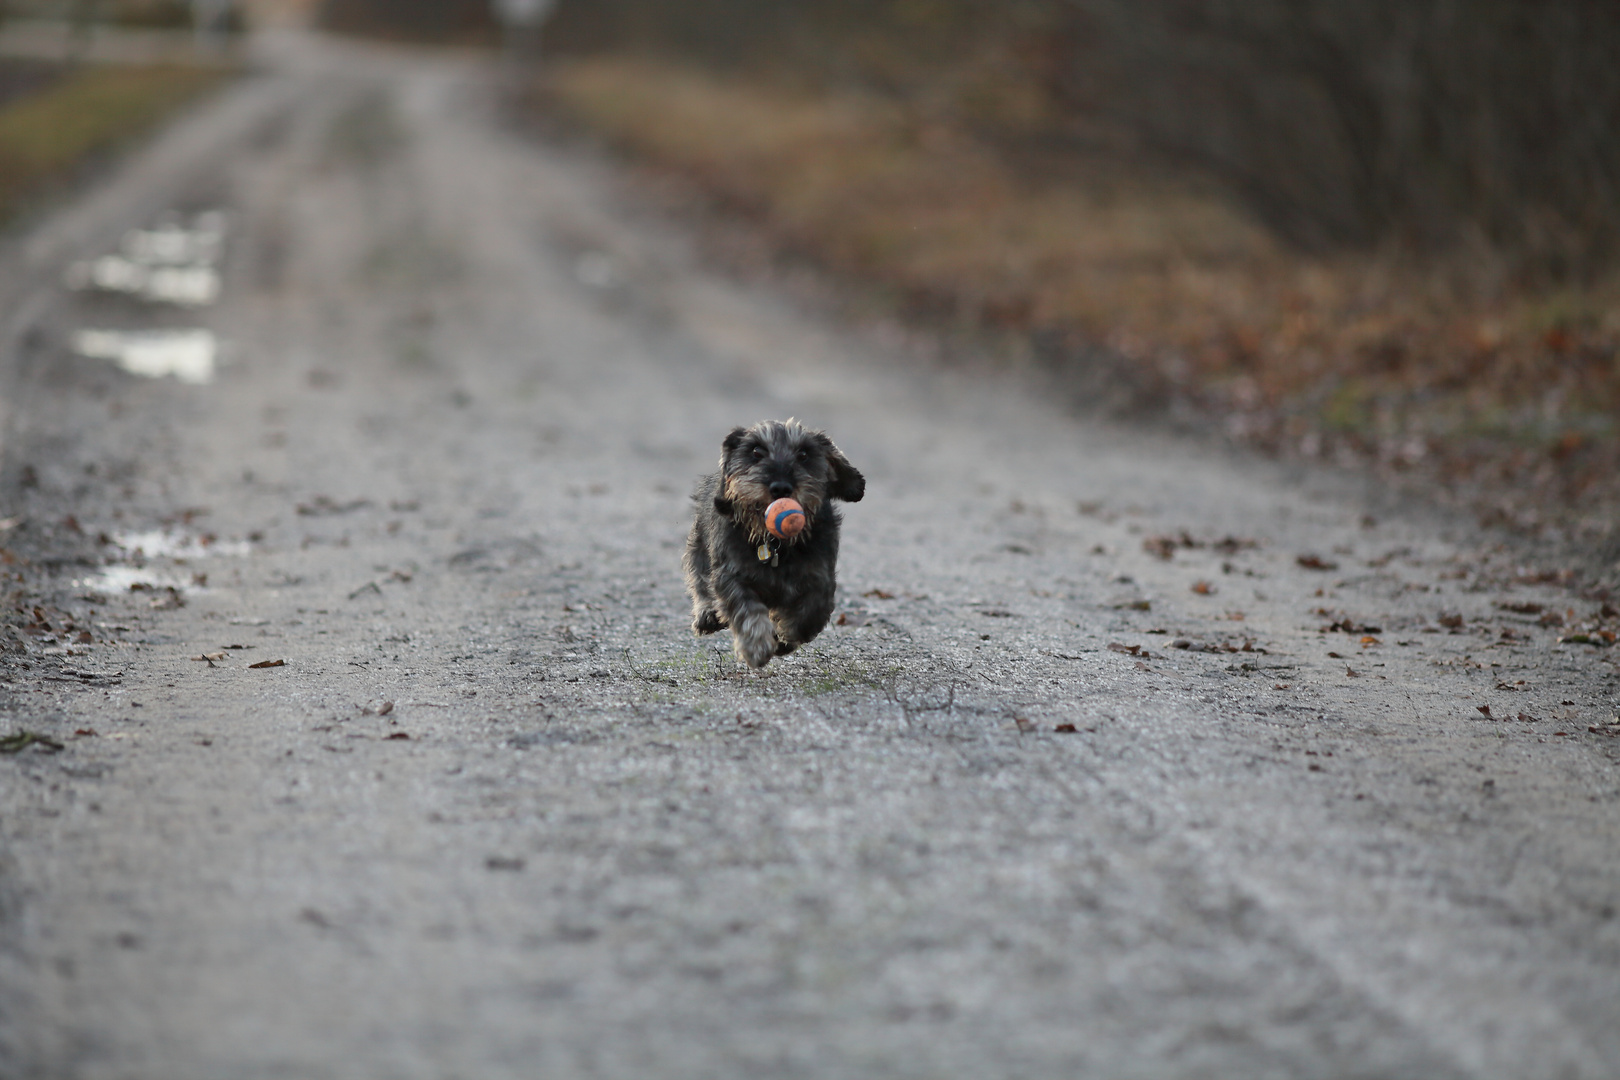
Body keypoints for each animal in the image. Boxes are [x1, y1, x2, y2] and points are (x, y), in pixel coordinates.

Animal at [680, 420, 868, 667]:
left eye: (804, 454)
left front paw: (783, 637)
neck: (776, 543)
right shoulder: (732, 575)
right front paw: (756, 646)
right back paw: (707, 615)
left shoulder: (819, 578)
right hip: (700, 546)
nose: (780, 487)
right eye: (756, 452)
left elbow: (810, 614)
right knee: (700, 580)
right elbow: (747, 610)